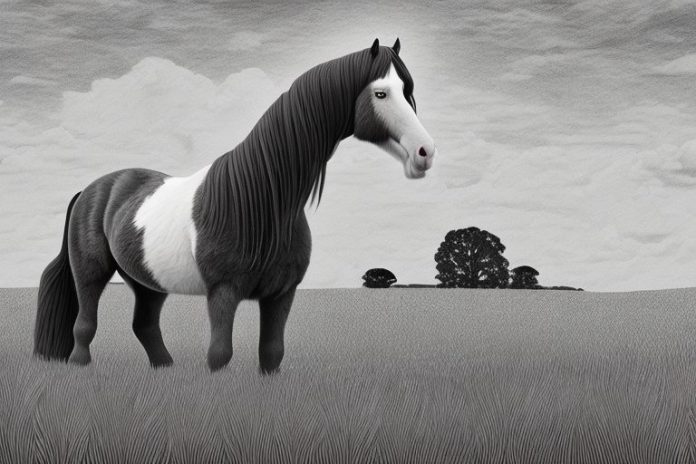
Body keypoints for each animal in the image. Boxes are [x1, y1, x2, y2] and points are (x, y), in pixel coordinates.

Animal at [33, 38, 437, 373]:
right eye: (381, 93)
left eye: (409, 92)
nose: (425, 152)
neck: (262, 202)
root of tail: (92, 190)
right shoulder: (223, 292)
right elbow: (219, 355)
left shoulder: (281, 294)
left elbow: (271, 354)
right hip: (91, 271)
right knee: (85, 323)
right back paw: (79, 365)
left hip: (147, 281)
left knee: (144, 324)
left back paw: (165, 368)